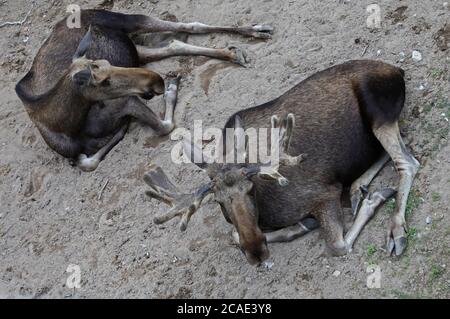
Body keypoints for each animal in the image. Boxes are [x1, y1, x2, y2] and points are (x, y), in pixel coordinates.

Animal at [15, 8, 272, 171]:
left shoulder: (127, 100)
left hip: (121, 20)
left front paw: (170, 90)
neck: (67, 124)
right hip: (136, 51)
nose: (156, 81)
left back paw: (255, 30)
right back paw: (232, 51)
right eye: (104, 81)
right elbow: (88, 162)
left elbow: (165, 126)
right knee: (173, 44)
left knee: (190, 25)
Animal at [145, 59, 422, 264]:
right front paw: (302, 225)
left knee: (407, 162)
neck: (266, 210)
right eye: (218, 201)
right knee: (391, 152)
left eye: (250, 189)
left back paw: (396, 228)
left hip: (379, 113)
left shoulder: (324, 193)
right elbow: (234, 234)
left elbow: (337, 245)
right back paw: (357, 188)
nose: (256, 253)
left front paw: (374, 198)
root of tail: (397, 70)